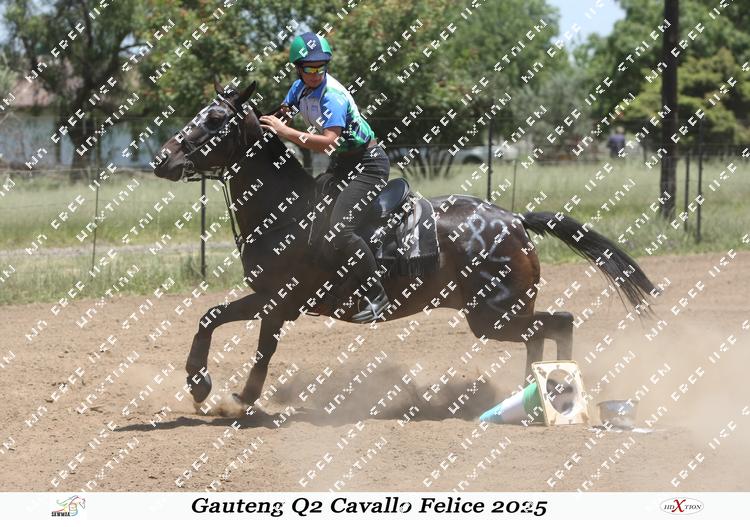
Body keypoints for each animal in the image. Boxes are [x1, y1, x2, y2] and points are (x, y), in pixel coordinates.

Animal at [152, 80, 658, 412]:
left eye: (216, 119)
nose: (162, 158)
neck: (288, 212)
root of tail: (514, 220)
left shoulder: (278, 299)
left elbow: (245, 338)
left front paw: (221, 392)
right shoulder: (270, 299)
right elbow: (222, 325)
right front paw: (217, 389)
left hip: (492, 315)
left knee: (557, 323)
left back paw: (555, 395)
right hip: (499, 314)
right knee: (546, 330)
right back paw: (534, 396)